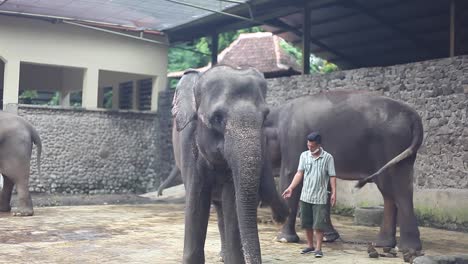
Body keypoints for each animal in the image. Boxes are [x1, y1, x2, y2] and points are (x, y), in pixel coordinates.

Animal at [266, 91, 424, 252]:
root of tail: (413, 116)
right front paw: (329, 237)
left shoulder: (293, 139)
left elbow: (291, 176)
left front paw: (283, 239)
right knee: (390, 191)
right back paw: (383, 244)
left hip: (391, 145)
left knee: (399, 190)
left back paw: (406, 248)